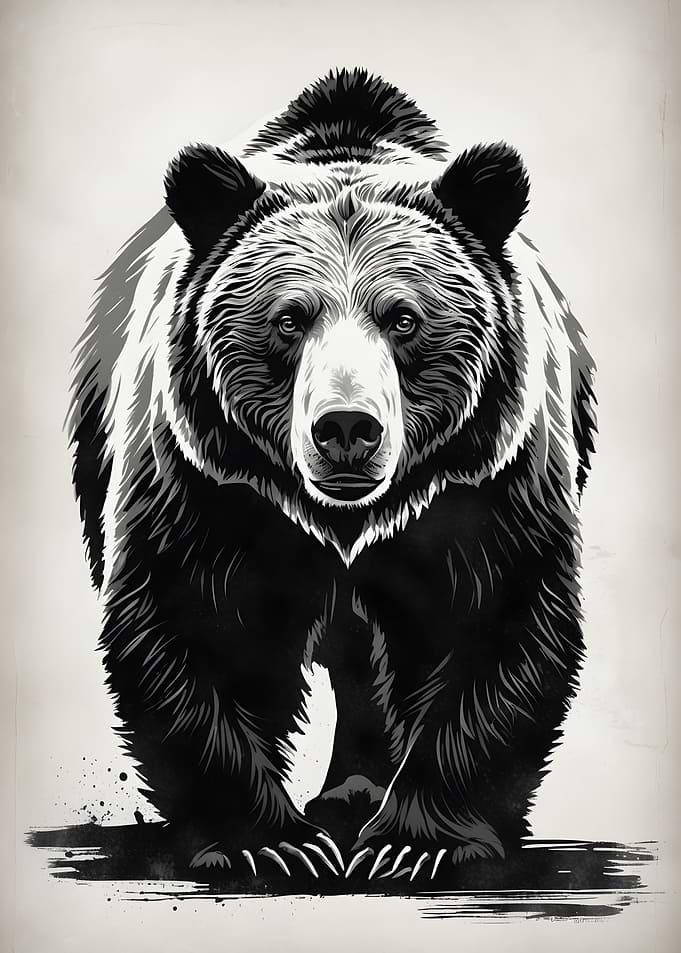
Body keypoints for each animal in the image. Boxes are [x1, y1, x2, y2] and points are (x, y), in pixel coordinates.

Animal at [68, 67, 596, 883]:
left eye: (403, 318)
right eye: (289, 318)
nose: (346, 428)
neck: (343, 517)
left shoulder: (484, 479)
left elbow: (496, 619)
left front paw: (418, 841)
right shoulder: (209, 481)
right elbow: (191, 622)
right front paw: (270, 842)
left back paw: (357, 791)